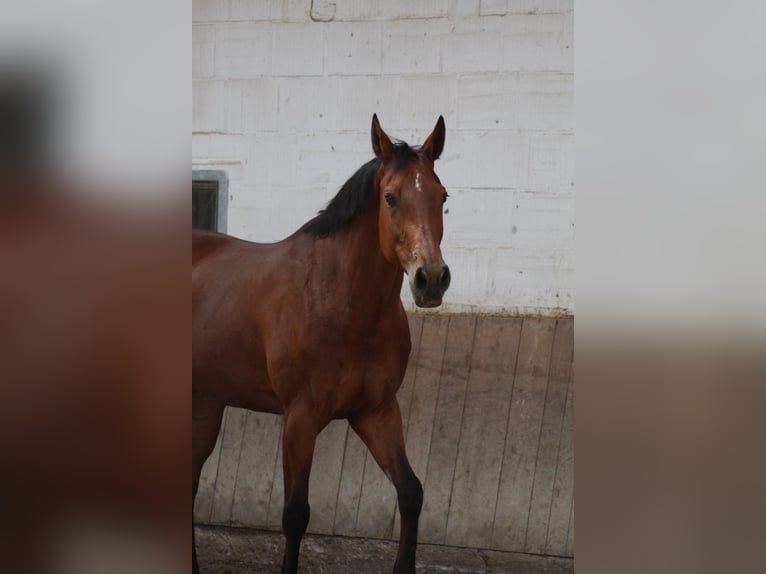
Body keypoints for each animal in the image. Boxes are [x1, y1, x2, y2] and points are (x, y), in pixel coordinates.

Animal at [192, 114, 451, 574]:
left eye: (442, 196)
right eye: (390, 197)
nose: (432, 279)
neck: (339, 298)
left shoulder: (376, 411)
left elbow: (411, 492)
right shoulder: (300, 417)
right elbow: (296, 514)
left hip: (206, 402)